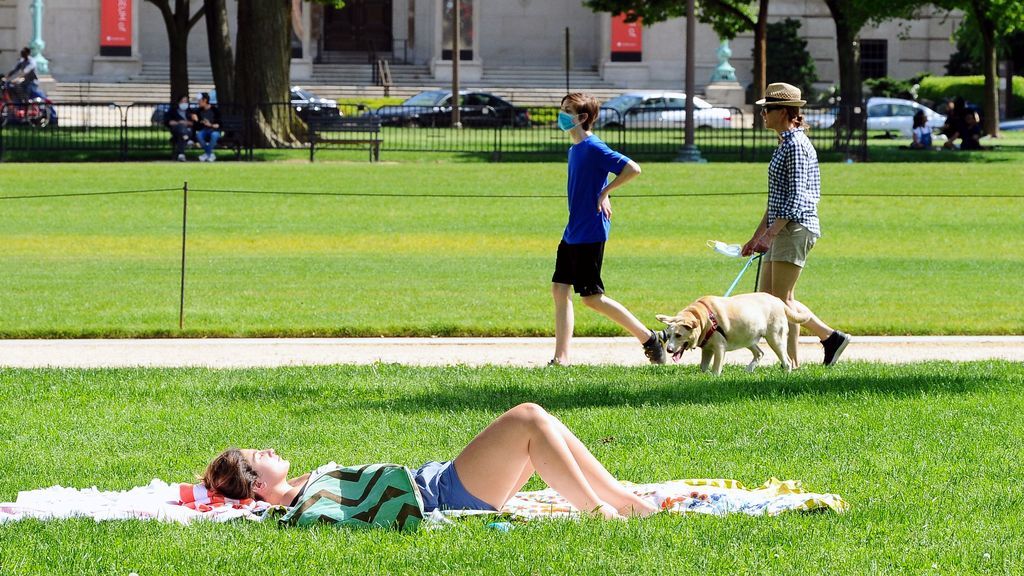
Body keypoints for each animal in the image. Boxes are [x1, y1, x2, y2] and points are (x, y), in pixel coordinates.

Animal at [659, 291, 811, 377]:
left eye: (678, 335)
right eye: (669, 335)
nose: (669, 350)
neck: (704, 318)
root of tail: (778, 301)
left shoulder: (719, 348)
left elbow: (716, 369)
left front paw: (713, 377)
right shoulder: (707, 349)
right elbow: (703, 367)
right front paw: (703, 375)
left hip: (775, 338)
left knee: (787, 361)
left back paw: (785, 375)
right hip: (748, 337)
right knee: (760, 353)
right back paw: (749, 370)